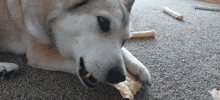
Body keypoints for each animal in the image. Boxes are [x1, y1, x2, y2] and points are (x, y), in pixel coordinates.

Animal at [0, 0, 150, 87]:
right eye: (103, 21)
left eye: (125, 41)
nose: (119, 77)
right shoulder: (38, 53)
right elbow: (71, 62)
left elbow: (124, 52)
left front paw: (138, 67)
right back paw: (5, 68)